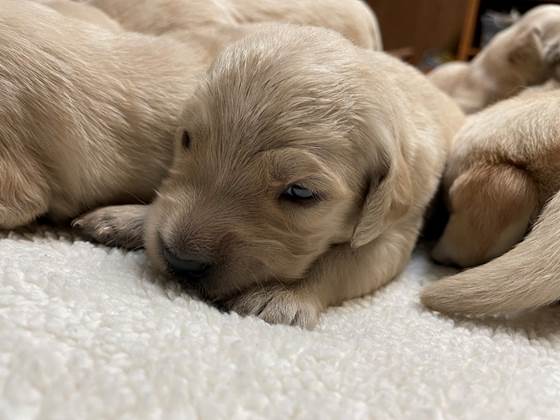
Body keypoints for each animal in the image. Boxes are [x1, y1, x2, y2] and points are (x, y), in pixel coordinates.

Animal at [74, 26, 466, 330]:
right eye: (186, 140)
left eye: (301, 192)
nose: (181, 262)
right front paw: (125, 217)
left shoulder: (395, 227)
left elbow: (343, 262)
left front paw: (281, 296)